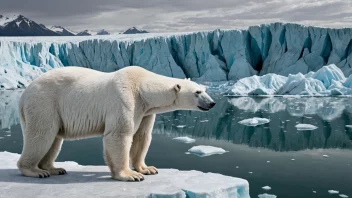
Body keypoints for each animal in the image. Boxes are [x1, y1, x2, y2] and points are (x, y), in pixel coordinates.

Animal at [17, 66, 216, 181]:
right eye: (198, 92)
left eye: (203, 89)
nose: (212, 103)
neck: (143, 87)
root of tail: (24, 94)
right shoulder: (125, 98)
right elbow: (120, 135)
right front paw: (130, 175)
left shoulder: (145, 111)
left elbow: (142, 137)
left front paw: (148, 169)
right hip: (45, 102)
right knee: (42, 135)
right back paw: (35, 170)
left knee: (54, 139)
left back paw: (54, 168)